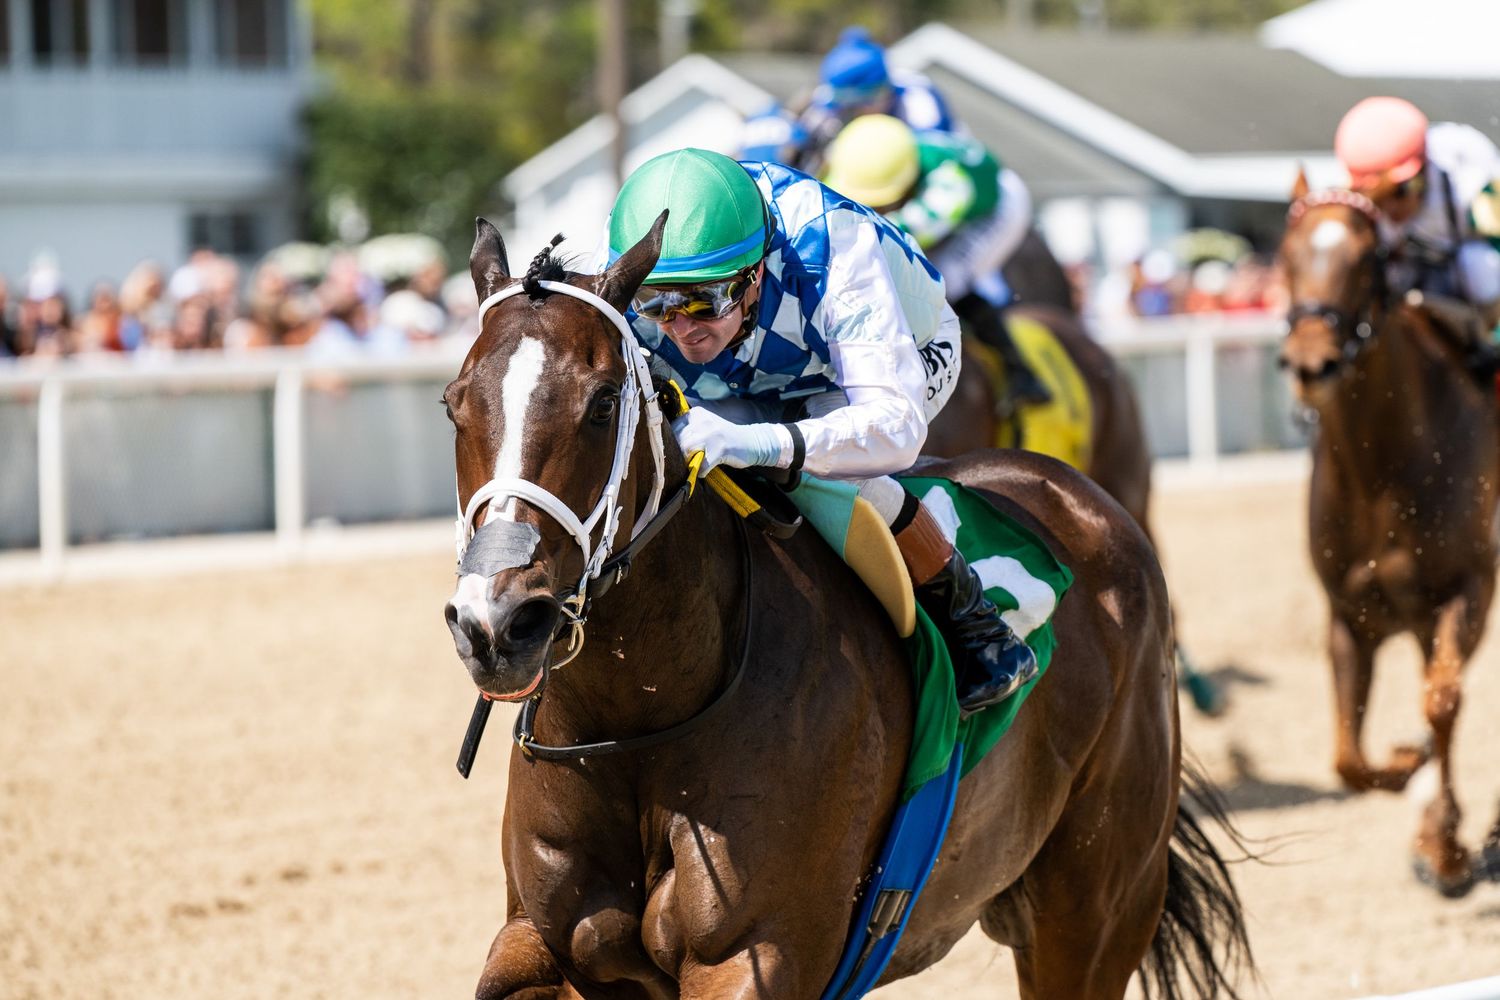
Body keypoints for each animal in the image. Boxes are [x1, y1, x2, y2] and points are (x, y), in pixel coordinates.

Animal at [442, 216, 1251, 998]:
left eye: (604, 402)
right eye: (454, 405)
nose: (499, 625)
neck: (641, 720)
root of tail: (1083, 499)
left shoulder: (759, 956)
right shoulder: (544, 941)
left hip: (1092, 910)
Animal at [1279, 178, 1500, 896]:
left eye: (1368, 259)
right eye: (1286, 254)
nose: (1311, 363)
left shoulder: (1467, 592)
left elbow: (1444, 701)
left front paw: (1447, 846)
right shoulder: (1352, 614)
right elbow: (1348, 759)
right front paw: (1409, 769)